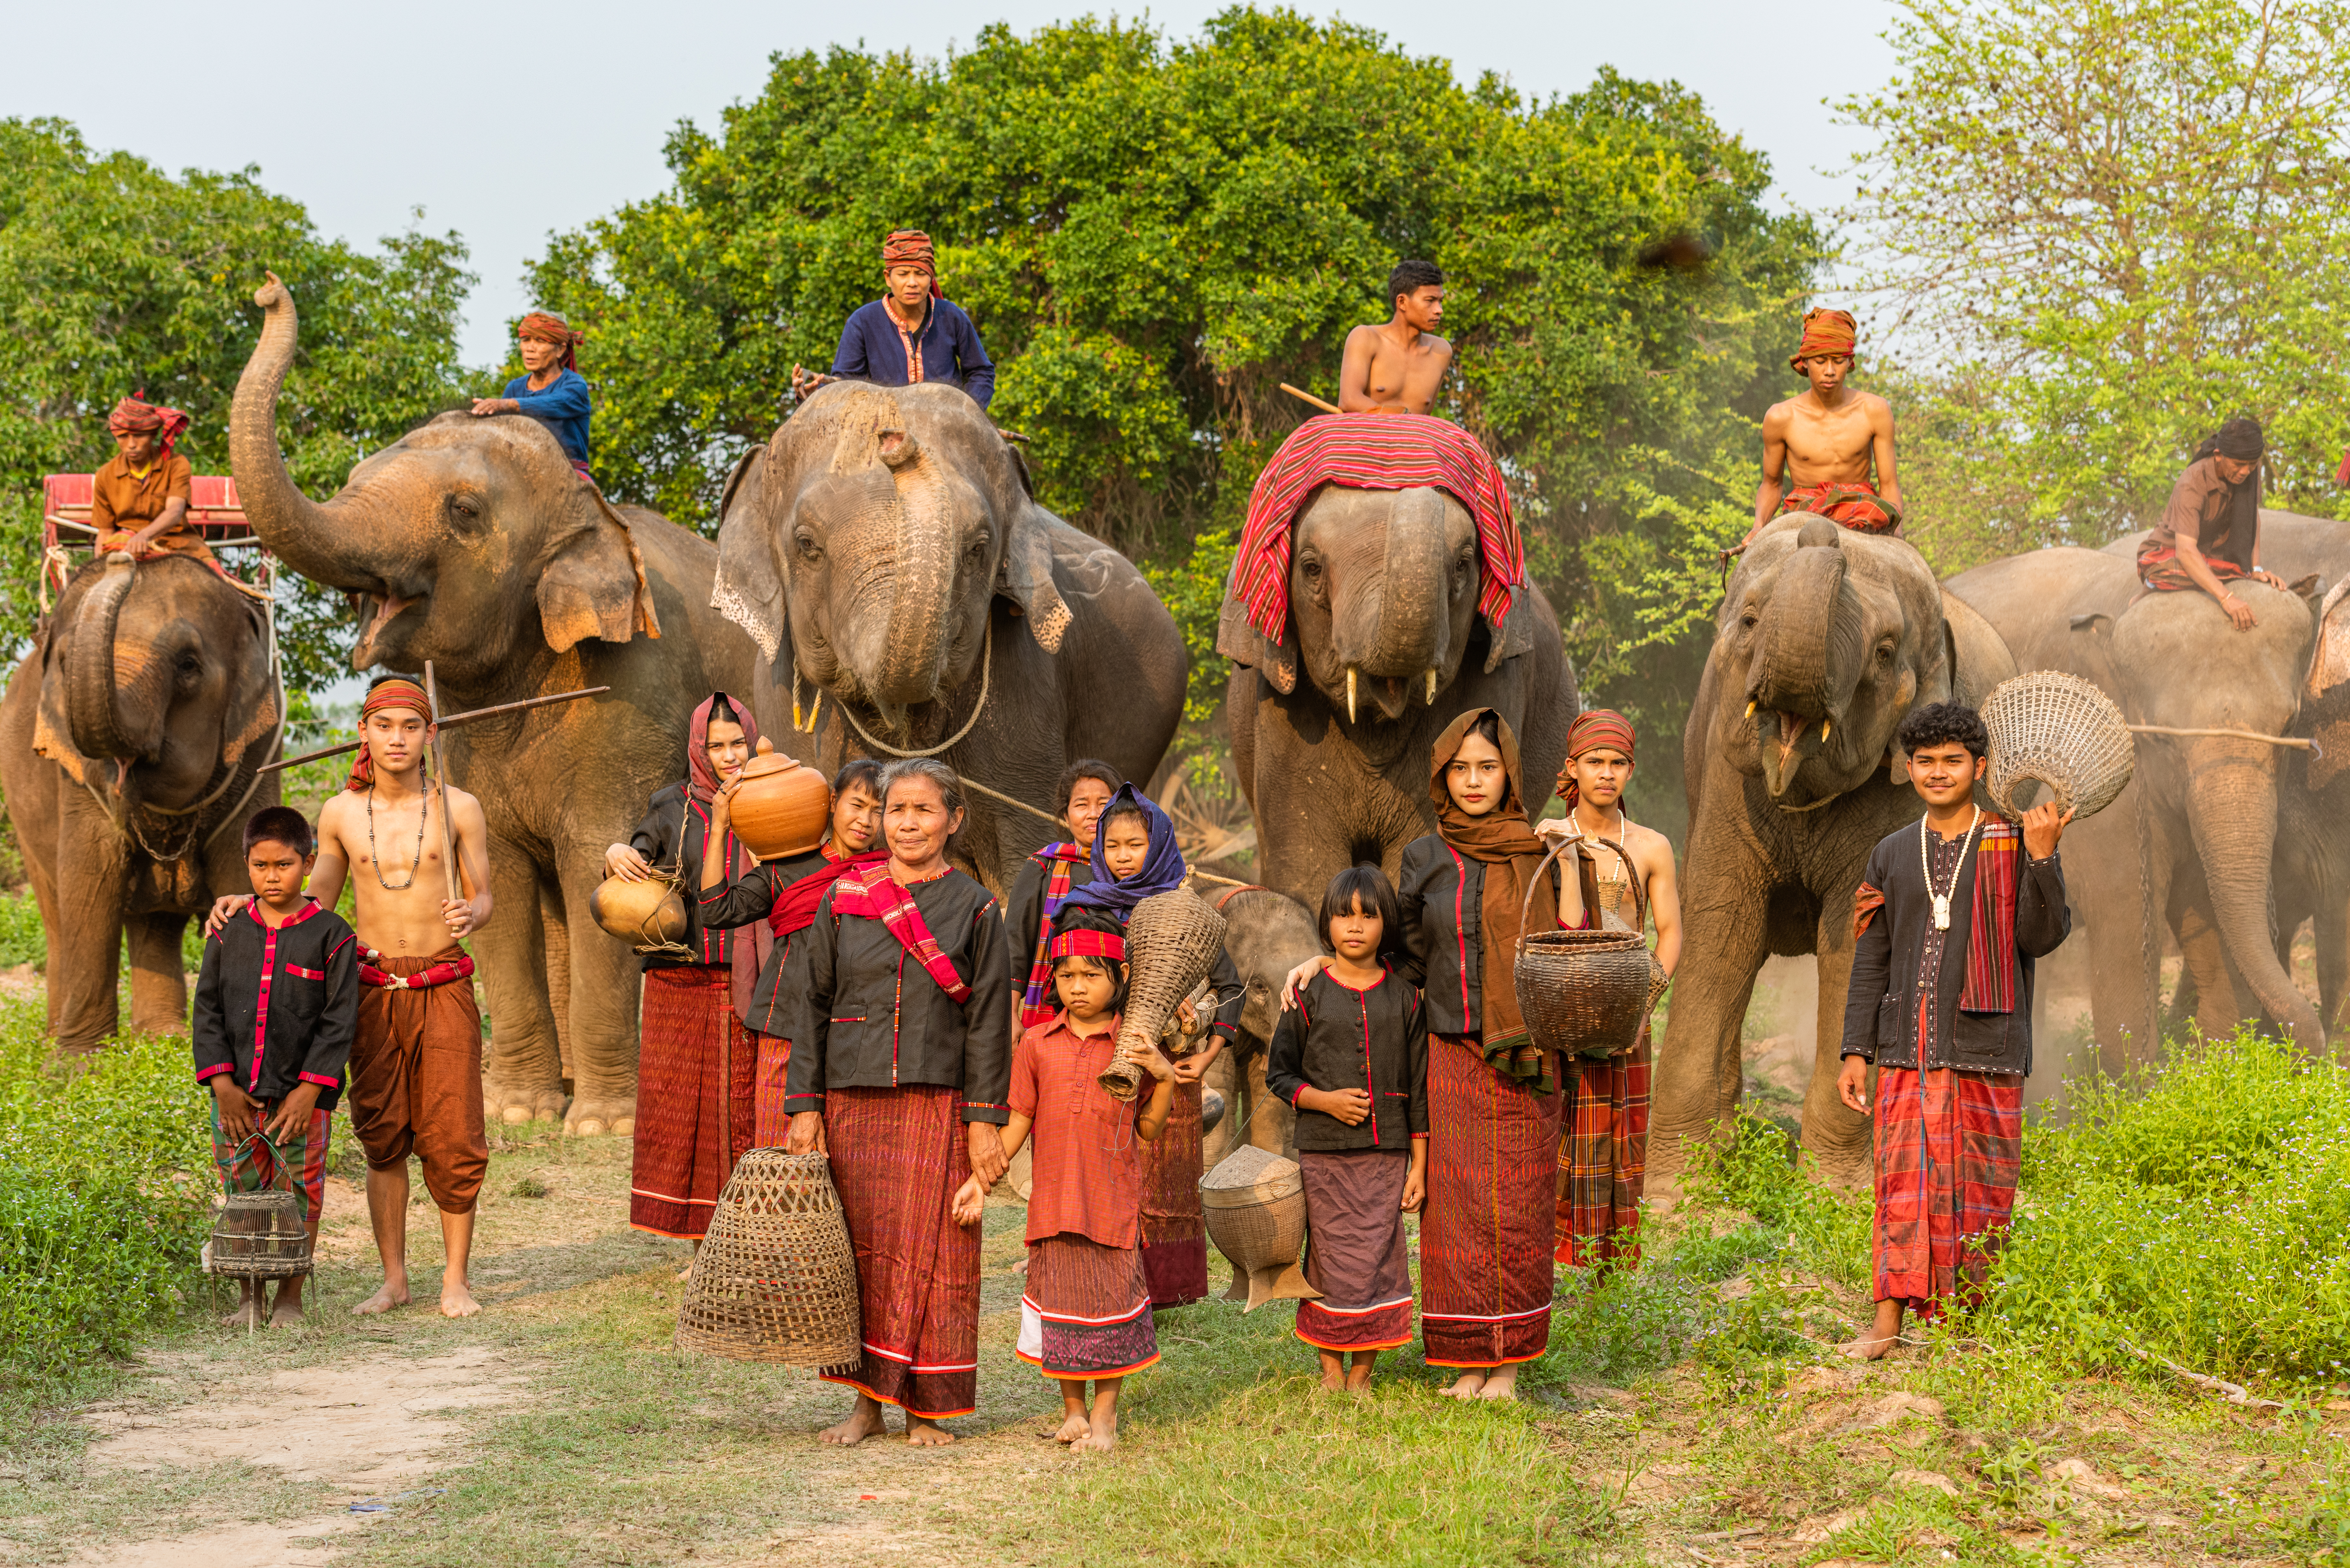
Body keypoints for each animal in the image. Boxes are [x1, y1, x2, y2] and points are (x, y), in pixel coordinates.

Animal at [0, 553, 281, 1052]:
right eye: (66, 663)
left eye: (188, 665)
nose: (123, 557)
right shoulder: (73, 776)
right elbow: (91, 876)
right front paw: (78, 1062)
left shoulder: (257, 749)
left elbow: (241, 863)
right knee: (58, 915)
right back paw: (63, 1039)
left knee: (157, 921)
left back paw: (162, 1039)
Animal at [229, 274, 761, 1135]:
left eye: (465, 513)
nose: (266, 290)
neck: (588, 516)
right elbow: (501, 882)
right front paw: (521, 1113)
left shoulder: (633, 695)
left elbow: (599, 862)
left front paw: (602, 1126)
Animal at [1651, 514, 2016, 1193]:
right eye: (1748, 620)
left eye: (1883, 653)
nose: (1823, 528)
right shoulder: (1722, 773)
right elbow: (1722, 929)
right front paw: (1675, 1191)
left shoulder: (1896, 790)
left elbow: (1858, 941)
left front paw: (1837, 1194)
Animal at [1946, 544, 2324, 1063]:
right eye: (2162, 738)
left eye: (2288, 727)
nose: (2314, 1052)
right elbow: (2123, 915)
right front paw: (2139, 1077)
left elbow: (2202, 907)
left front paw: (2208, 1063)